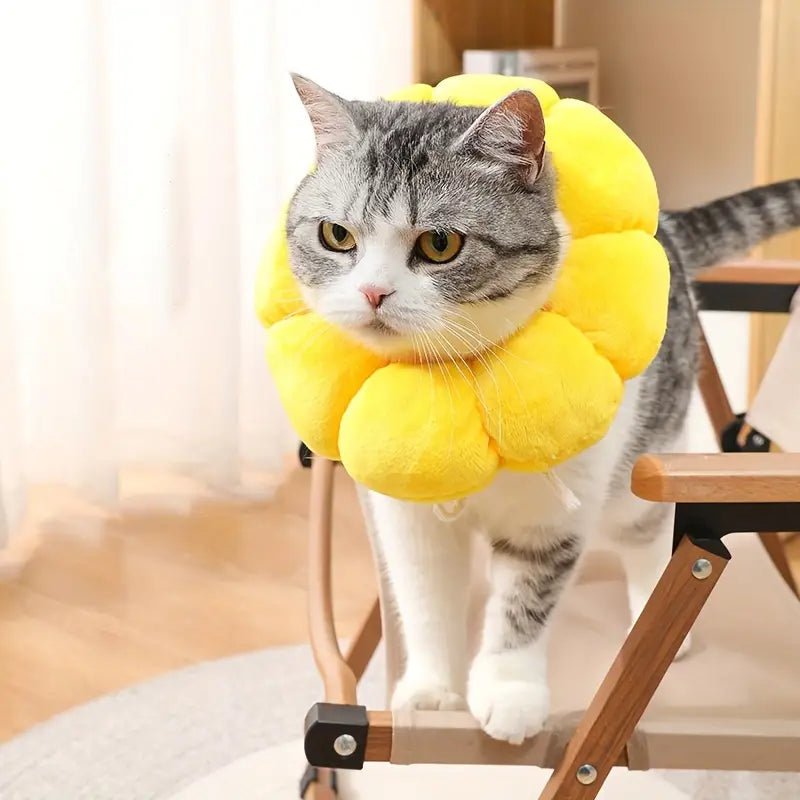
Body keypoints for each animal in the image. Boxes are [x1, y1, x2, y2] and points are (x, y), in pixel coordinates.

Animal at [282, 75, 800, 744]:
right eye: (336, 236)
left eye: (440, 244)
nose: (373, 292)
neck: (458, 379)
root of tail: (673, 232)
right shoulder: (409, 521)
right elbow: (425, 601)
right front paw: (431, 693)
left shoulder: (550, 521)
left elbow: (522, 605)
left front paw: (510, 695)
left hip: (642, 463)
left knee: (651, 530)